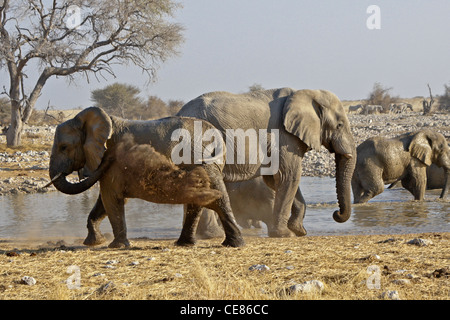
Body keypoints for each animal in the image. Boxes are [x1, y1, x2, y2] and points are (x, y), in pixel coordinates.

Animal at [48, 106, 246, 249]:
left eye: (64, 147)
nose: (113, 155)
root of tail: (217, 136)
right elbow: (104, 201)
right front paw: (94, 242)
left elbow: (111, 197)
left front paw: (116, 246)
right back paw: (186, 244)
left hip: (200, 160)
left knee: (216, 198)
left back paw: (231, 244)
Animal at [178, 88, 356, 238]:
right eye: (339, 125)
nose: (336, 214)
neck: (307, 94)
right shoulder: (284, 137)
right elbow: (288, 176)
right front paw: (286, 234)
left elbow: (276, 179)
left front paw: (299, 231)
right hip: (201, 142)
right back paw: (214, 234)